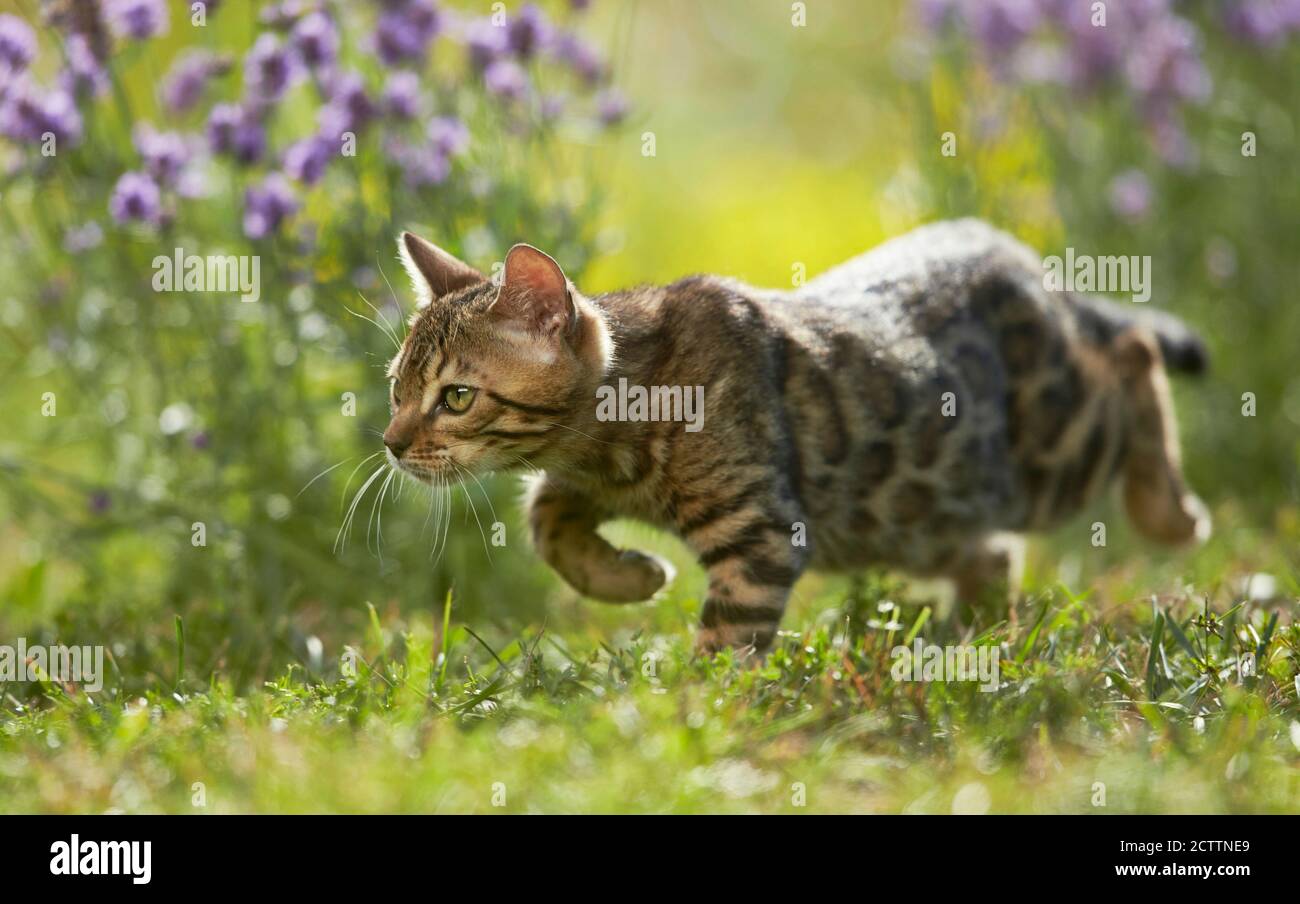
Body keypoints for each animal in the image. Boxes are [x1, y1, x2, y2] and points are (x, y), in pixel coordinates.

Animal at [382, 222, 1206, 652]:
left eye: (455, 397)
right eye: (395, 388)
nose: (390, 442)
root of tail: (1022, 260)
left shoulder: (762, 533)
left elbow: (727, 637)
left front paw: (701, 712)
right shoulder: (583, 480)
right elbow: (545, 518)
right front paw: (630, 577)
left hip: (1052, 454)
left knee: (1133, 354)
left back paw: (1169, 510)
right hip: (915, 515)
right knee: (993, 551)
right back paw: (969, 634)